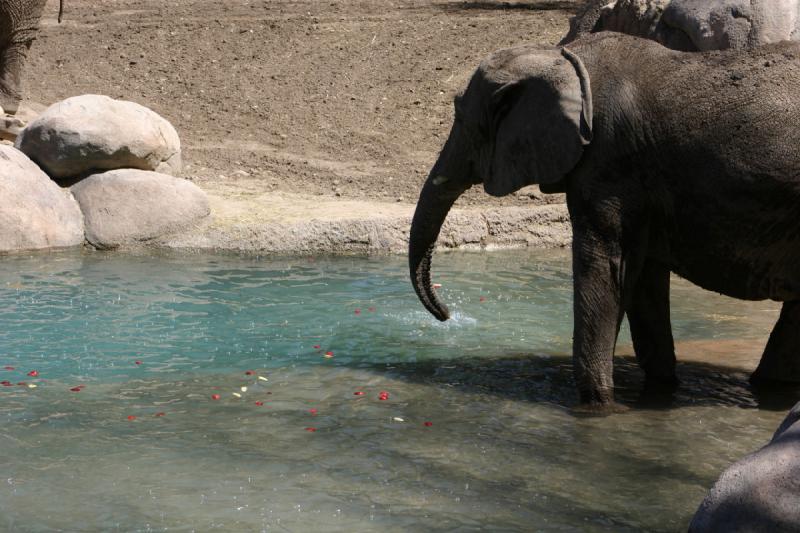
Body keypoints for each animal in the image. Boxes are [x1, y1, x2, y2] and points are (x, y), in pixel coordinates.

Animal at [410, 31, 800, 406]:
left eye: (463, 120)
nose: (446, 314)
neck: (561, 56)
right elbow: (643, 280)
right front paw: (656, 391)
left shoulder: (609, 164)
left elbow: (607, 267)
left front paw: (597, 405)